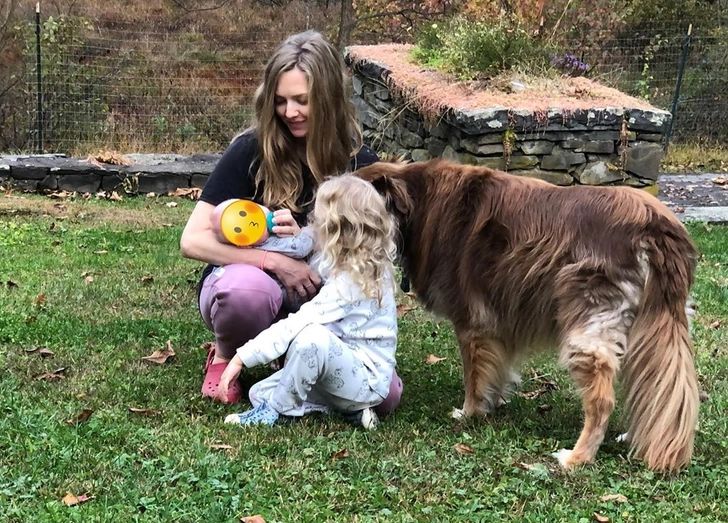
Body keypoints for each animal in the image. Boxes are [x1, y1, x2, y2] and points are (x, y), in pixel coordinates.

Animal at [356, 158, 700, 472]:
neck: (419, 203)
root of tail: (655, 224)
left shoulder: (472, 325)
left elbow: (473, 378)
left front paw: (469, 412)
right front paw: (493, 403)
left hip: (588, 326)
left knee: (603, 401)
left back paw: (578, 458)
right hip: (651, 324)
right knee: (660, 384)